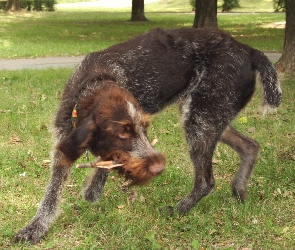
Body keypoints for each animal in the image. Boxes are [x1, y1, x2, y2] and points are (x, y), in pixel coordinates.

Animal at [13, 27, 282, 244]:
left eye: (145, 129)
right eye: (123, 133)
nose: (158, 167)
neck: (93, 83)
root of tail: (247, 49)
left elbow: (100, 172)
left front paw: (93, 188)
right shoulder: (64, 143)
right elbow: (52, 194)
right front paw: (35, 228)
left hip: (201, 120)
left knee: (206, 180)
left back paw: (180, 209)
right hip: (208, 116)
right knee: (250, 146)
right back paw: (239, 189)